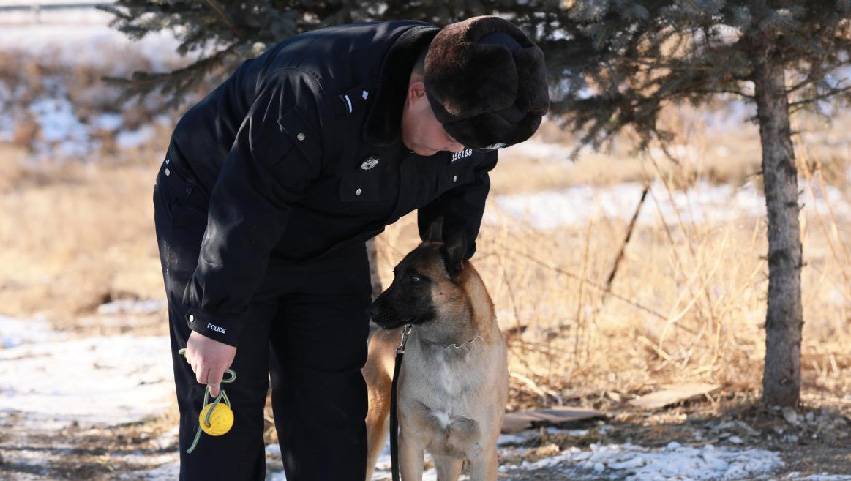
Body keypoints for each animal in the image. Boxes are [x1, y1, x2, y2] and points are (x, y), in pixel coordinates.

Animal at [362, 222, 510, 480]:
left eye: (415, 278)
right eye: (395, 274)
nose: (371, 311)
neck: (448, 346)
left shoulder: (482, 454)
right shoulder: (410, 444)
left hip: (448, 459)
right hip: (375, 426)